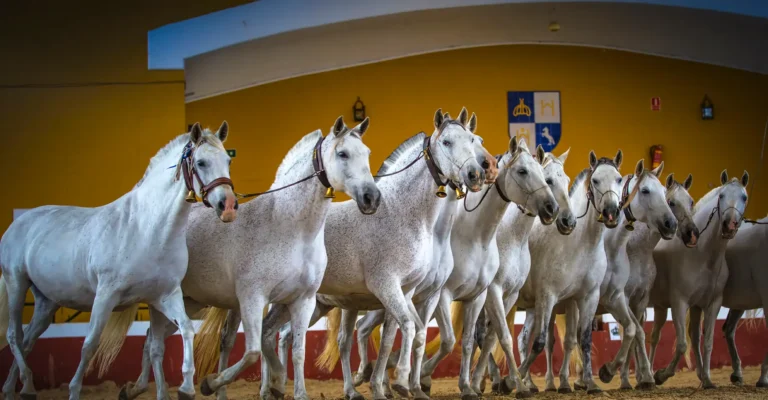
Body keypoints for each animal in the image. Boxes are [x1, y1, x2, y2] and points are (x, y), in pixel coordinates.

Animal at [0, 122, 237, 400]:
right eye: (200, 162)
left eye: (228, 161)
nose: (228, 206)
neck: (147, 230)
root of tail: (19, 222)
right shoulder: (105, 295)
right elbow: (90, 344)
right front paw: (74, 390)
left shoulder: (165, 296)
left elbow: (185, 331)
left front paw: (187, 387)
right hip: (17, 283)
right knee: (14, 336)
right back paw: (25, 383)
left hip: (46, 302)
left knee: (27, 341)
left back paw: (16, 389)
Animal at [113, 116, 381, 400]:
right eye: (342, 154)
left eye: (367, 153)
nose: (372, 197)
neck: (292, 230)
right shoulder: (253, 298)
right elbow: (253, 350)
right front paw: (218, 383)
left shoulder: (303, 300)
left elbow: (297, 351)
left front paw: (292, 390)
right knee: (154, 342)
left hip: (190, 302)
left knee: (151, 339)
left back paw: (134, 388)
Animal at [468, 148, 576, 397]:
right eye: (549, 180)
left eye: (567, 181)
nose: (566, 219)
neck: (512, 237)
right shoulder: (495, 292)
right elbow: (503, 337)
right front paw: (511, 383)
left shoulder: (520, 297)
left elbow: (502, 338)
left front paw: (514, 382)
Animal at [515, 150, 625, 395]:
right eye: (596, 180)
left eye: (619, 179)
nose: (611, 212)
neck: (580, 243)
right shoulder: (549, 297)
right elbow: (541, 342)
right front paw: (518, 376)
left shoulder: (583, 298)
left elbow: (579, 340)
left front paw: (588, 383)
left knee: (520, 338)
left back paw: (528, 383)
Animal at [650, 170, 749, 388]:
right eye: (721, 196)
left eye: (744, 197)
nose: (729, 224)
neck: (702, 256)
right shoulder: (679, 302)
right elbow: (681, 344)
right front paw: (662, 375)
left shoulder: (709, 303)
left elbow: (705, 341)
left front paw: (707, 379)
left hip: (660, 307)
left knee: (654, 336)